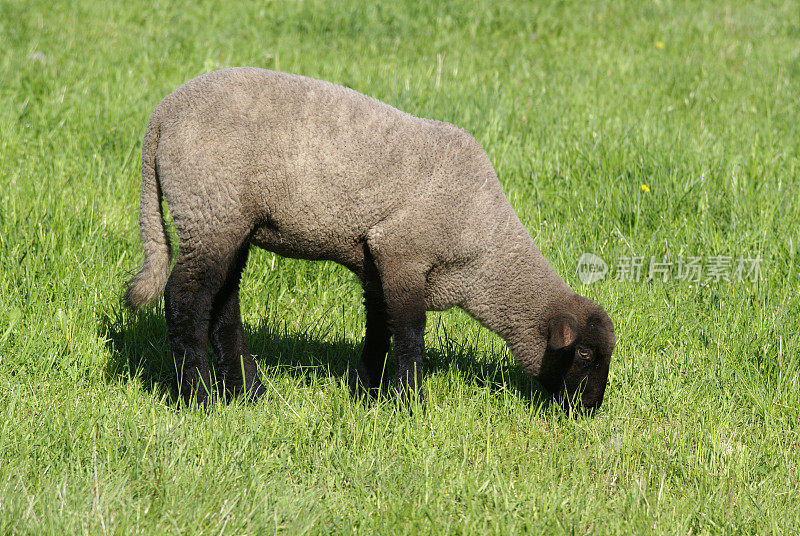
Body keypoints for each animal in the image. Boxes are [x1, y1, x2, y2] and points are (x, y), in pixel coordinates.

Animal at [125, 67, 616, 410]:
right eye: (585, 354)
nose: (590, 409)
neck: (483, 249)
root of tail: (162, 116)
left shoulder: (374, 258)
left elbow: (379, 325)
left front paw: (368, 391)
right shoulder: (403, 252)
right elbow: (410, 332)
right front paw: (411, 403)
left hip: (230, 221)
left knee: (223, 306)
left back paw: (248, 392)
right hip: (209, 210)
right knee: (185, 300)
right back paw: (199, 397)